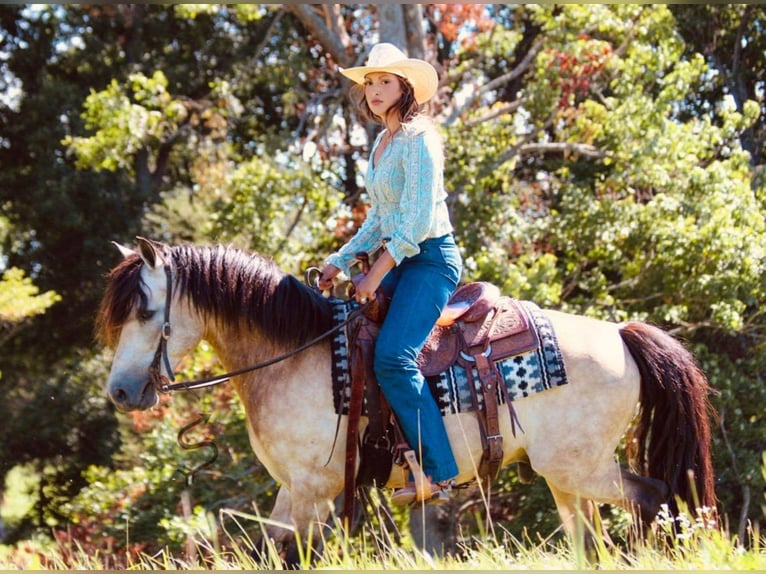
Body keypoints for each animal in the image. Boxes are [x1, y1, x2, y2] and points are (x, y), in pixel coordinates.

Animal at [97, 238, 720, 568]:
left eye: (146, 311)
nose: (121, 392)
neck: (295, 353)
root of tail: (620, 334)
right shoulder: (294, 489)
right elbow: (271, 551)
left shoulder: (313, 489)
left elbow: (293, 554)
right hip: (566, 475)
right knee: (589, 538)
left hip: (583, 468)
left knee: (651, 497)